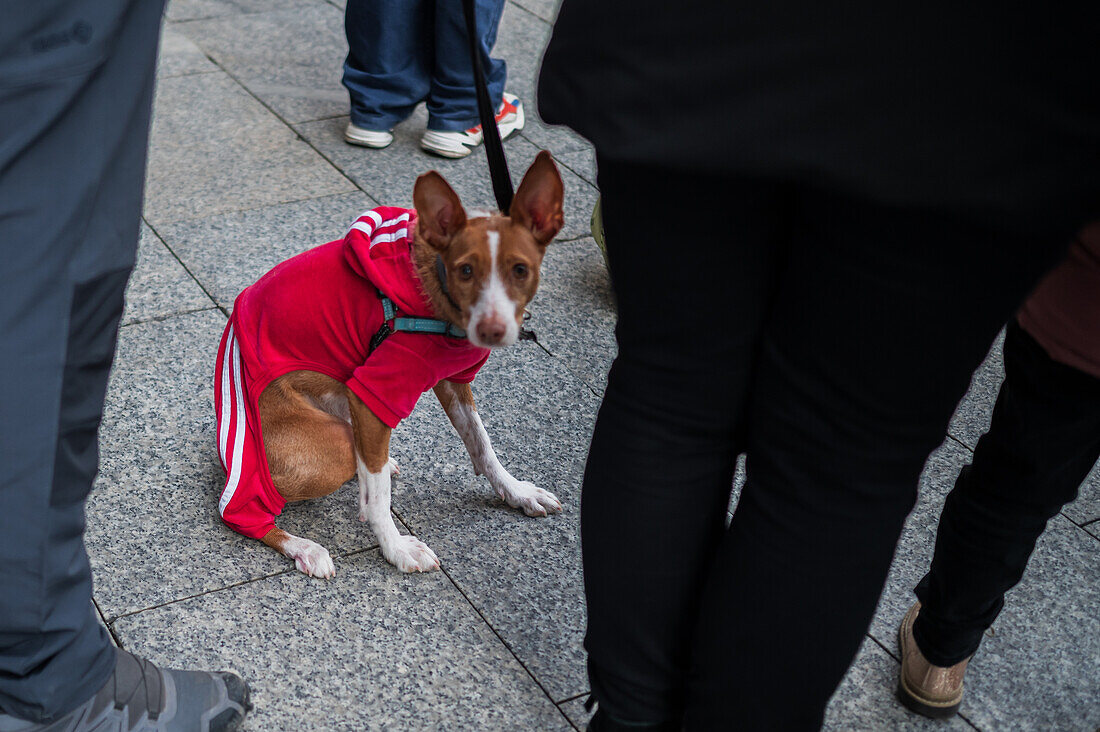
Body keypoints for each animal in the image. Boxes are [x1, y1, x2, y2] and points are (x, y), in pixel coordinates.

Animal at [212, 154, 567, 576]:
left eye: (520, 270)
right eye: (465, 270)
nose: (493, 330)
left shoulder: (453, 382)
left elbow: (482, 445)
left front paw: (517, 492)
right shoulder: (372, 395)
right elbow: (380, 500)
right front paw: (395, 549)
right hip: (325, 445)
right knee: (248, 513)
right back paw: (304, 547)